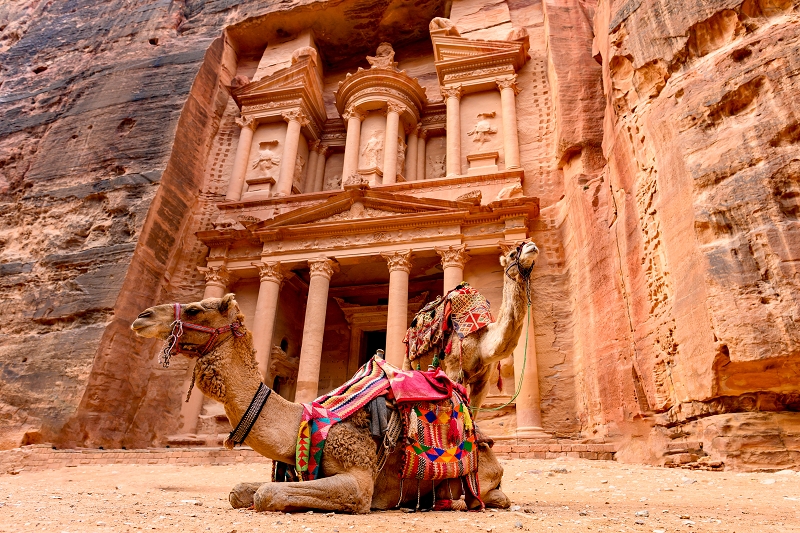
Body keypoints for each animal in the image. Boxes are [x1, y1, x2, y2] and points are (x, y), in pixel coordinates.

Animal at [130, 296, 506, 512]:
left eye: (195, 309)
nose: (141, 316)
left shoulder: (359, 479)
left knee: (492, 496)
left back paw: (455, 502)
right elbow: (240, 491)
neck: (302, 420)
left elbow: (266, 494)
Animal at [404, 242, 540, 412]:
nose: (531, 245)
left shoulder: (483, 383)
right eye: (512, 254)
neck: (482, 344)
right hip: (410, 360)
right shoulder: (454, 371)